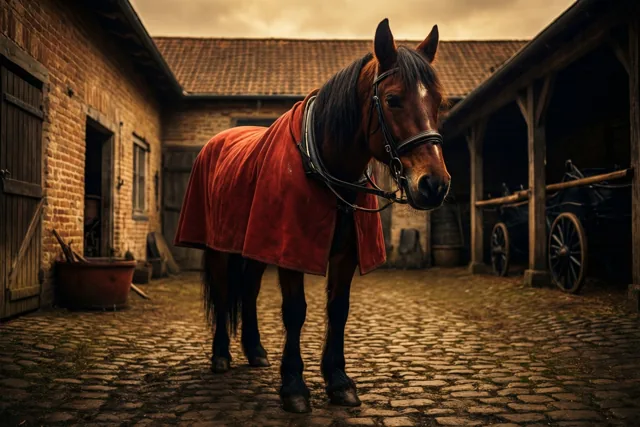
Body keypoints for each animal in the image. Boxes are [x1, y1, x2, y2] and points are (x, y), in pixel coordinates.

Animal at [174, 18, 450, 413]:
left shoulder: (344, 254)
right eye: (393, 100)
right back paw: (222, 356)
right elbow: (295, 311)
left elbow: (338, 309)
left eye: (438, 102)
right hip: (218, 248)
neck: (322, 165)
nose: (434, 184)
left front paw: (338, 380)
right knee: (226, 291)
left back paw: (255, 351)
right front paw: (293, 386)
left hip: (254, 247)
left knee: (249, 290)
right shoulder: (290, 251)